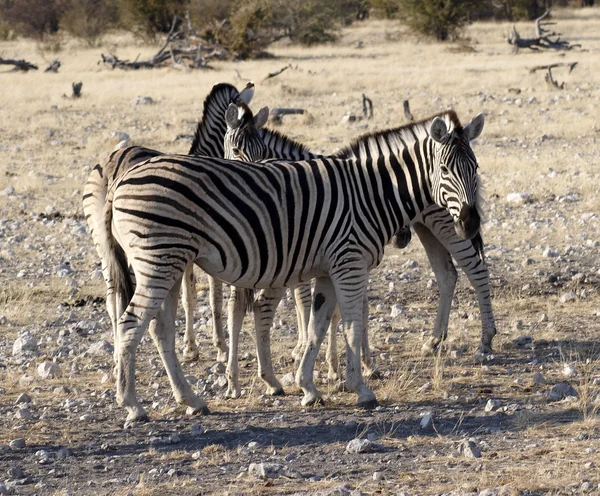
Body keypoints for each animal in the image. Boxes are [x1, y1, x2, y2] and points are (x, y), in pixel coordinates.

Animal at [81, 81, 255, 368]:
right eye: (239, 150)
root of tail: (114, 165)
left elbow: (190, 296)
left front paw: (192, 347)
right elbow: (205, 297)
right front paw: (213, 347)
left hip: (104, 245)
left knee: (112, 297)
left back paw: (118, 355)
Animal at [101, 107, 486, 422]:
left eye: (476, 169)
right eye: (445, 169)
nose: (470, 224)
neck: (371, 193)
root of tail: (119, 180)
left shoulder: (329, 269)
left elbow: (317, 324)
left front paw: (308, 388)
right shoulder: (349, 262)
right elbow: (350, 325)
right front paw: (360, 389)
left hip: (168, 262)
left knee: (159, 328)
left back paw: (191, 400)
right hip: (159, 260)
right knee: (131, 323)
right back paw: (132, 405)